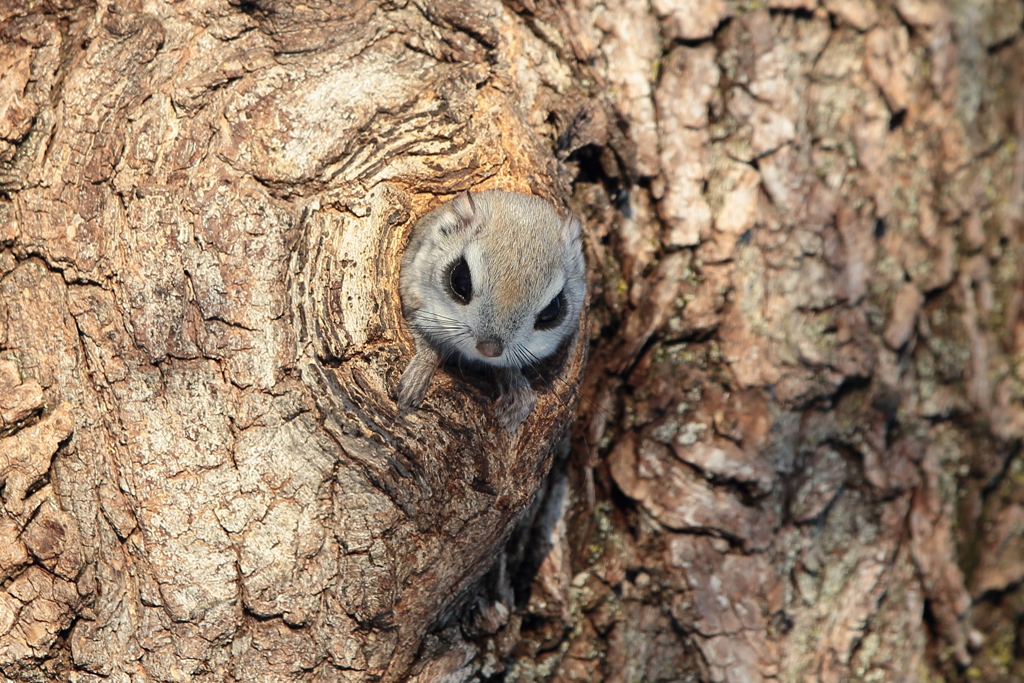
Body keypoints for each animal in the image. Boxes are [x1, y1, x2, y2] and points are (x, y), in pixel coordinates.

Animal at [397, 189, 585, 430]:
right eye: (460, 279)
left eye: (553, 310)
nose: (489, 349)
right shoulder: (412, 296)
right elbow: (424, 338)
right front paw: (417, 377)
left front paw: (517, 392)